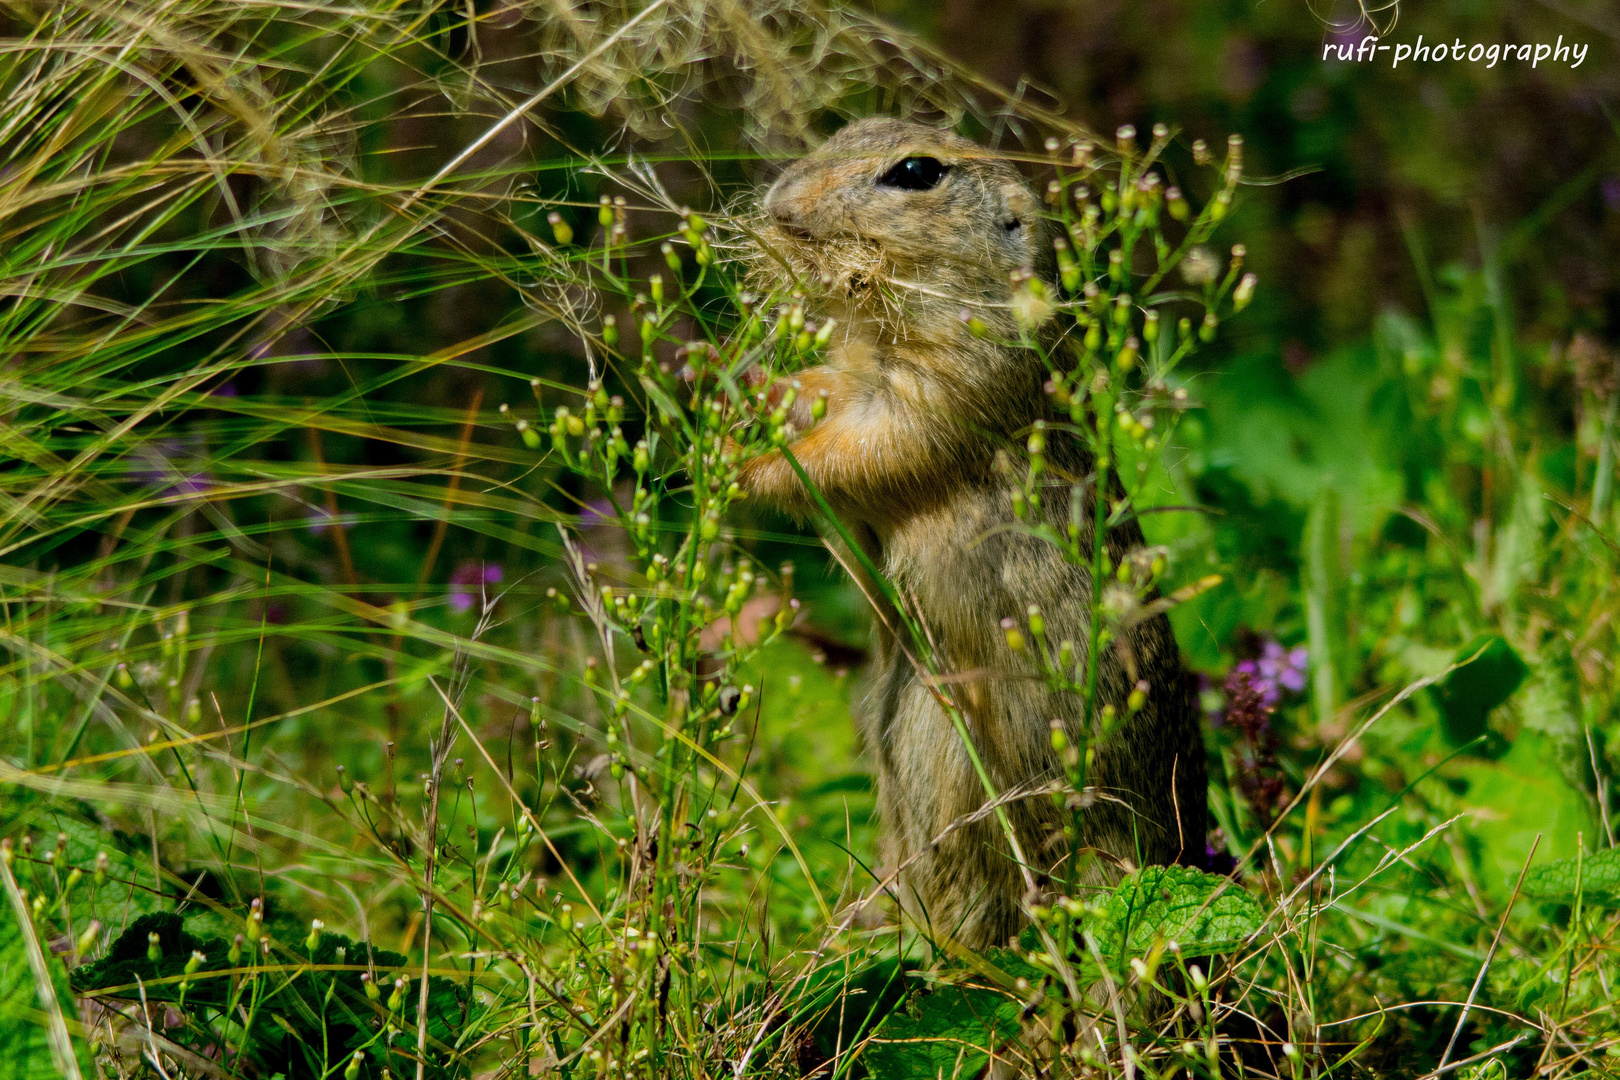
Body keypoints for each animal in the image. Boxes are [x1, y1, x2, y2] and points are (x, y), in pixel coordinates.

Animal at [741, 116, 1211, 945]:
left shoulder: (943, 394)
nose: (778, 203)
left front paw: (754, 465)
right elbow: (822, 392)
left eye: (916, 173)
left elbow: (865, 448)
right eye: (851, 128)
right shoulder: (857, 374)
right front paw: (740, 384)